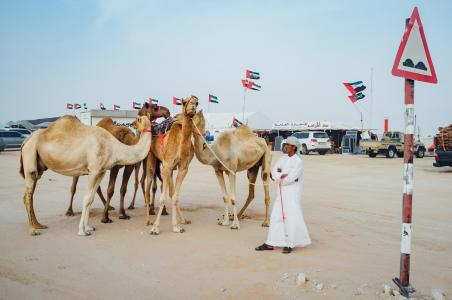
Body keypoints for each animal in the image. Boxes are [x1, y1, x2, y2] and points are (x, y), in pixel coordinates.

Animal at [19, 113, 152, 236]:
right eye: (138, 119)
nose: (133, 123)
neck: (114, 147)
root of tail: (26, 140)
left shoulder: (101, 171)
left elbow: (91, 199)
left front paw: (88, 228)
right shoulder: (93, 170)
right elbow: (86, 199)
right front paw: (82, 231)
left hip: (38, 167)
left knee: (31, 193)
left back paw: (38, 225)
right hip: (30, 154)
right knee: (27, 195)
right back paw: (32, 230)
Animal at [143, 96, 196, 234]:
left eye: (197, 102)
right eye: (183, 102)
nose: (193, 107)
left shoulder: (182, 169)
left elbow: (175, 196)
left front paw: (177, 226)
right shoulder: (166, 167)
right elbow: (162, 198)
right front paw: (155, 228)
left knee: (171, 193)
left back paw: (183, 220)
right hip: (151, 160)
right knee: (147, 189)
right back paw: (147, 221)